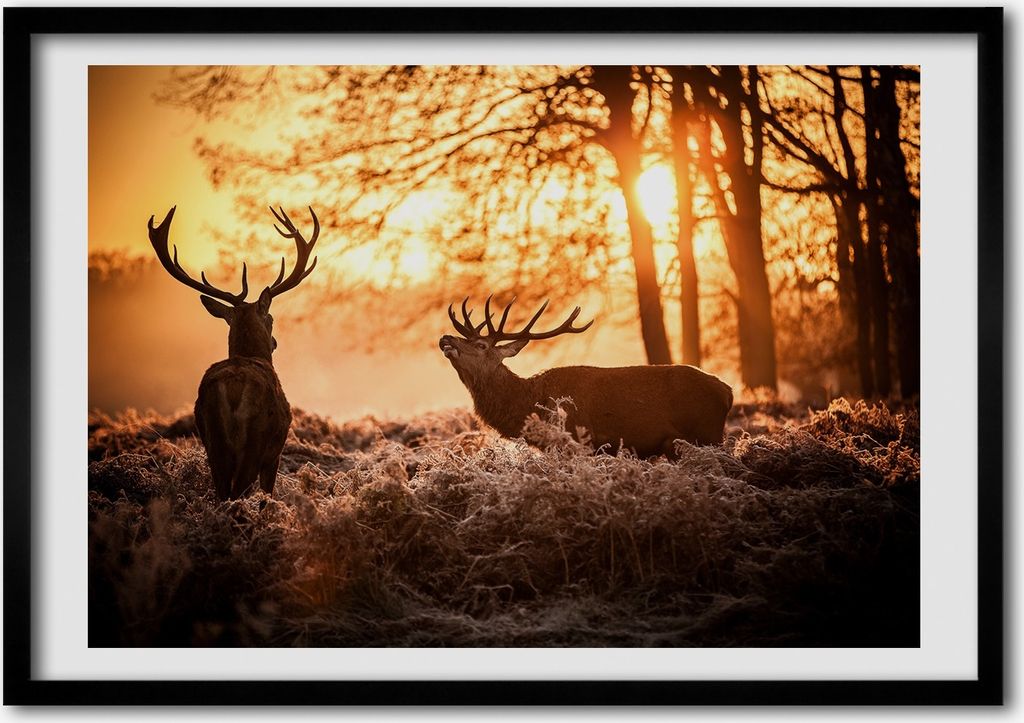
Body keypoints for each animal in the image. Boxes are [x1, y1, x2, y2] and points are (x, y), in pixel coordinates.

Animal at [148, 205, 320, 500]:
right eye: (271, 318)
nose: (275, 342)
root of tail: (232, 387)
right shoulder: (274, 454)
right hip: (255, 441)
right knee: (237, 492)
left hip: (212, 440)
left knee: (222, 492)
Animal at [439, 297, 733, 457]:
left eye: (481, 345)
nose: (446, 338)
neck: (531, 404)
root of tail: (727, 392)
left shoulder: (579, 441)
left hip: (708, 434)